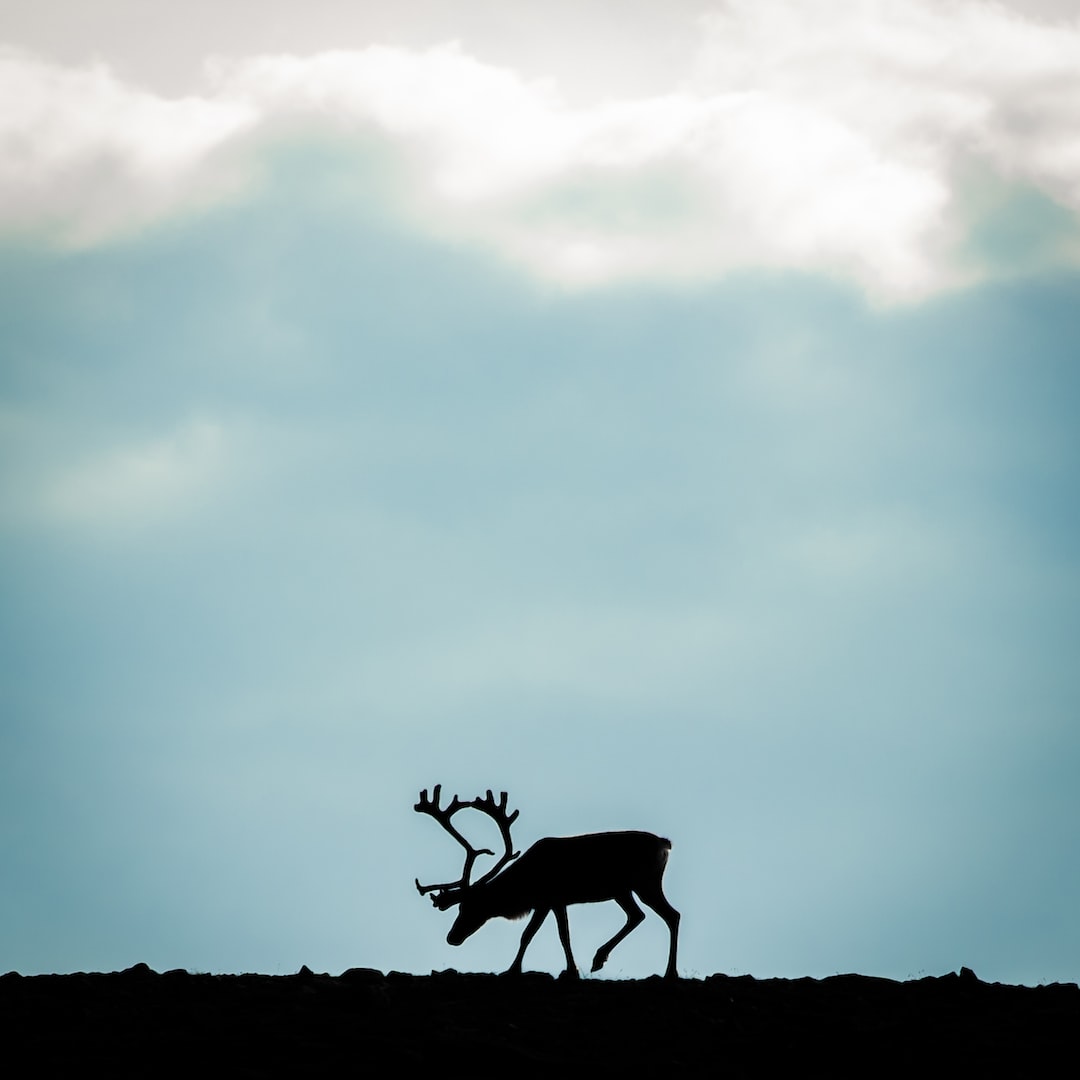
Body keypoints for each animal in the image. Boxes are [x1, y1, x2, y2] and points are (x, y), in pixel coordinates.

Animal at [414, 785, 679, 979]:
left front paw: (517, 969)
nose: (452, 937)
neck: (524, 885)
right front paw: (565, 969)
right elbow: (551, 934)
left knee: (671, 915)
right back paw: (599, 958)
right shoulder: (552, 902)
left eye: (471, 906)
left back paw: (669, 972)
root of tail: (665, 844)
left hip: (645, 883)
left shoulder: (549, 898)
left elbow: (540, 934)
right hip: (622, 890)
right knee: (637, 915)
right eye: (459, 907)